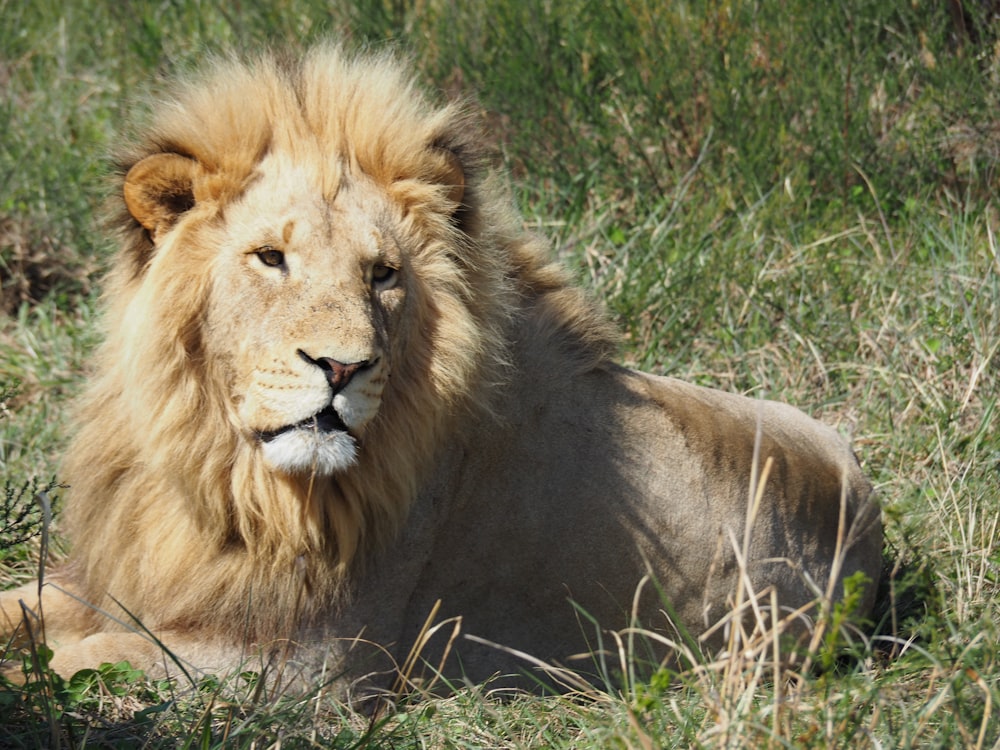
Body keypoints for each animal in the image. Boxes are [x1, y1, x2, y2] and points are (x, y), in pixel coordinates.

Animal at [0, 44, 880, 696]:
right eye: (270, 258)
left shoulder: (294, 671)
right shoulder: (117, 584)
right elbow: (24, 609)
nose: (341, 366)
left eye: (383, 274)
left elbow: (75, 662)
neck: (224, 470)